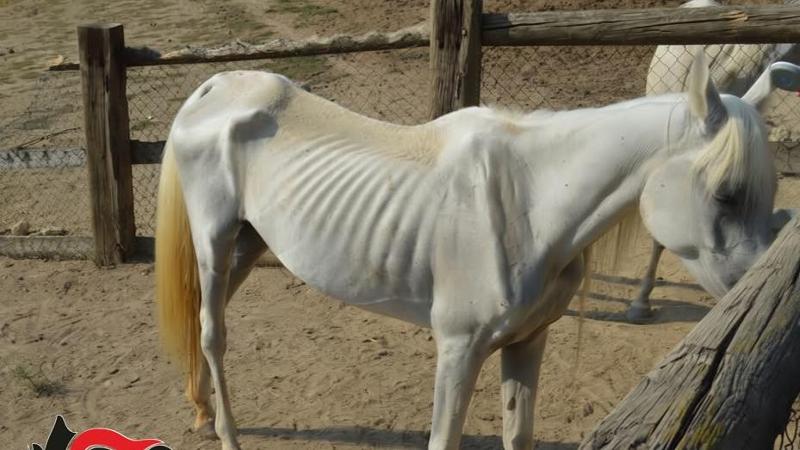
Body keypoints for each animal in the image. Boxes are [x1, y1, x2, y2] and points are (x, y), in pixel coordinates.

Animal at [154, 54, 792, 450]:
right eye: (727, 192)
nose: (755, 288)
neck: (533, 201)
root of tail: (215, 89)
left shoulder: (528, 342)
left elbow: (518, 433)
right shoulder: (459, 349)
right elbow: (446, 438)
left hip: (248, 242)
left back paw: (202, 411)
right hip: (214, 242)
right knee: (213, 333)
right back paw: (227, 434)